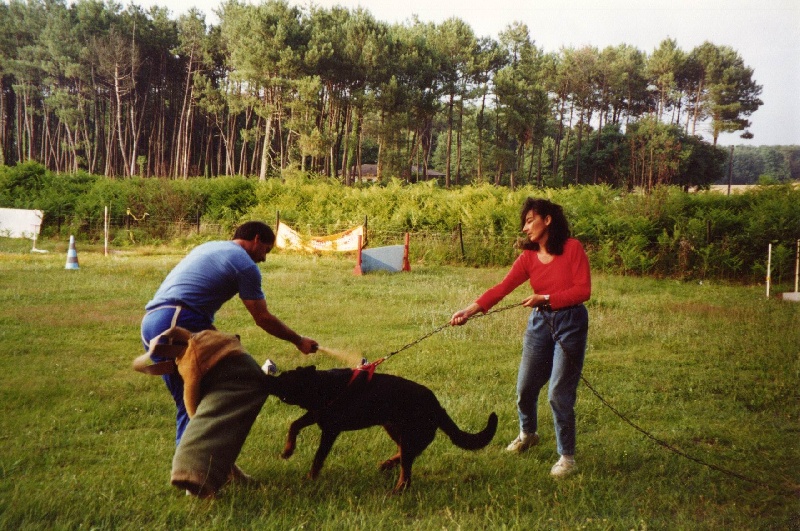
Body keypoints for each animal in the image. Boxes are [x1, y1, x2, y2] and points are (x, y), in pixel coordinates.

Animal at [266, 366, 496, 494]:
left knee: (407, 473)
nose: (269, 380)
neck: (322, 386)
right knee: (407, 455)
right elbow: (294, 425)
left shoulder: (330, 430)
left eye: (284, 380)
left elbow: (318, 458)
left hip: (408, 434)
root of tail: (437, 406)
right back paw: (387, 464)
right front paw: (287, 451)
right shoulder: (315, 415)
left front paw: (310, 479)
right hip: (394, 428)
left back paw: (396, 490)